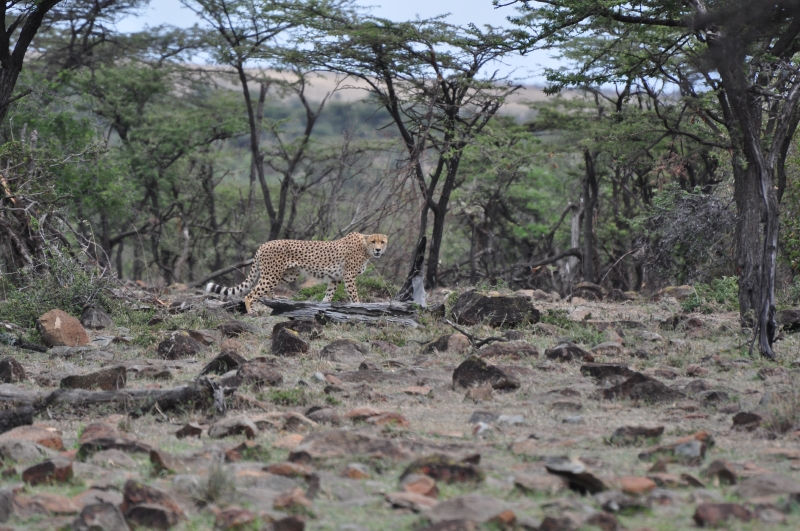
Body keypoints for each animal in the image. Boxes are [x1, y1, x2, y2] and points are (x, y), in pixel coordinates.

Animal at [206, 232, 388, 313]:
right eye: (374, 241)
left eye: (383, 242)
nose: (379, 250)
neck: (365, 248)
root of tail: (263, 244)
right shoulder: (349, 275)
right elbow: (354, 295)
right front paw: (359, 306)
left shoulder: (336, 277)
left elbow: (329, 293)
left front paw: (323, 305)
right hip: (272, 274)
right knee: (251, 293)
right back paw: (252, 312)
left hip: (287, 274)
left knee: (263, 288)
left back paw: (273, 300)